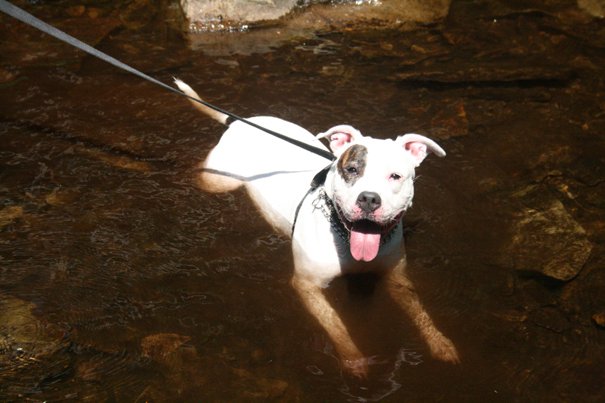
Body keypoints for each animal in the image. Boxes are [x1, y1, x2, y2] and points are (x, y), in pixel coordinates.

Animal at [175, 79, 459, 377]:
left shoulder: (396, 277)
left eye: (395, 176)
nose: (369, 198)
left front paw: (441, 344)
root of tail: (238, 122)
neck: (346, 239)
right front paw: (354, 360)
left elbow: (419, 311)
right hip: (219, 180)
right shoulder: (307, 285)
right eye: (352, 169)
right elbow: (335, 324)